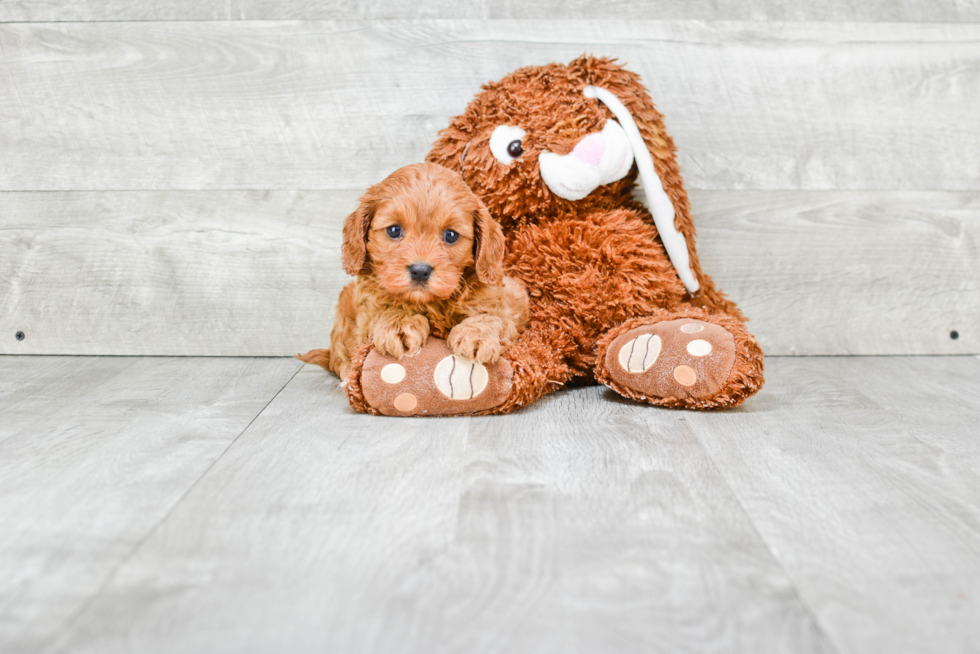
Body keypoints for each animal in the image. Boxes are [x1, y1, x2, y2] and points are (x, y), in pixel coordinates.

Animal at [300, 161, 524, 382]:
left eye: (451, 235)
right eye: (394, 230)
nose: (420, 271)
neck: (431, 304)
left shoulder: (508, 310)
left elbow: (493, 317)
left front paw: (476, 334)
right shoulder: (366, 318)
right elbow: (383, 312)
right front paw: (399, 323)